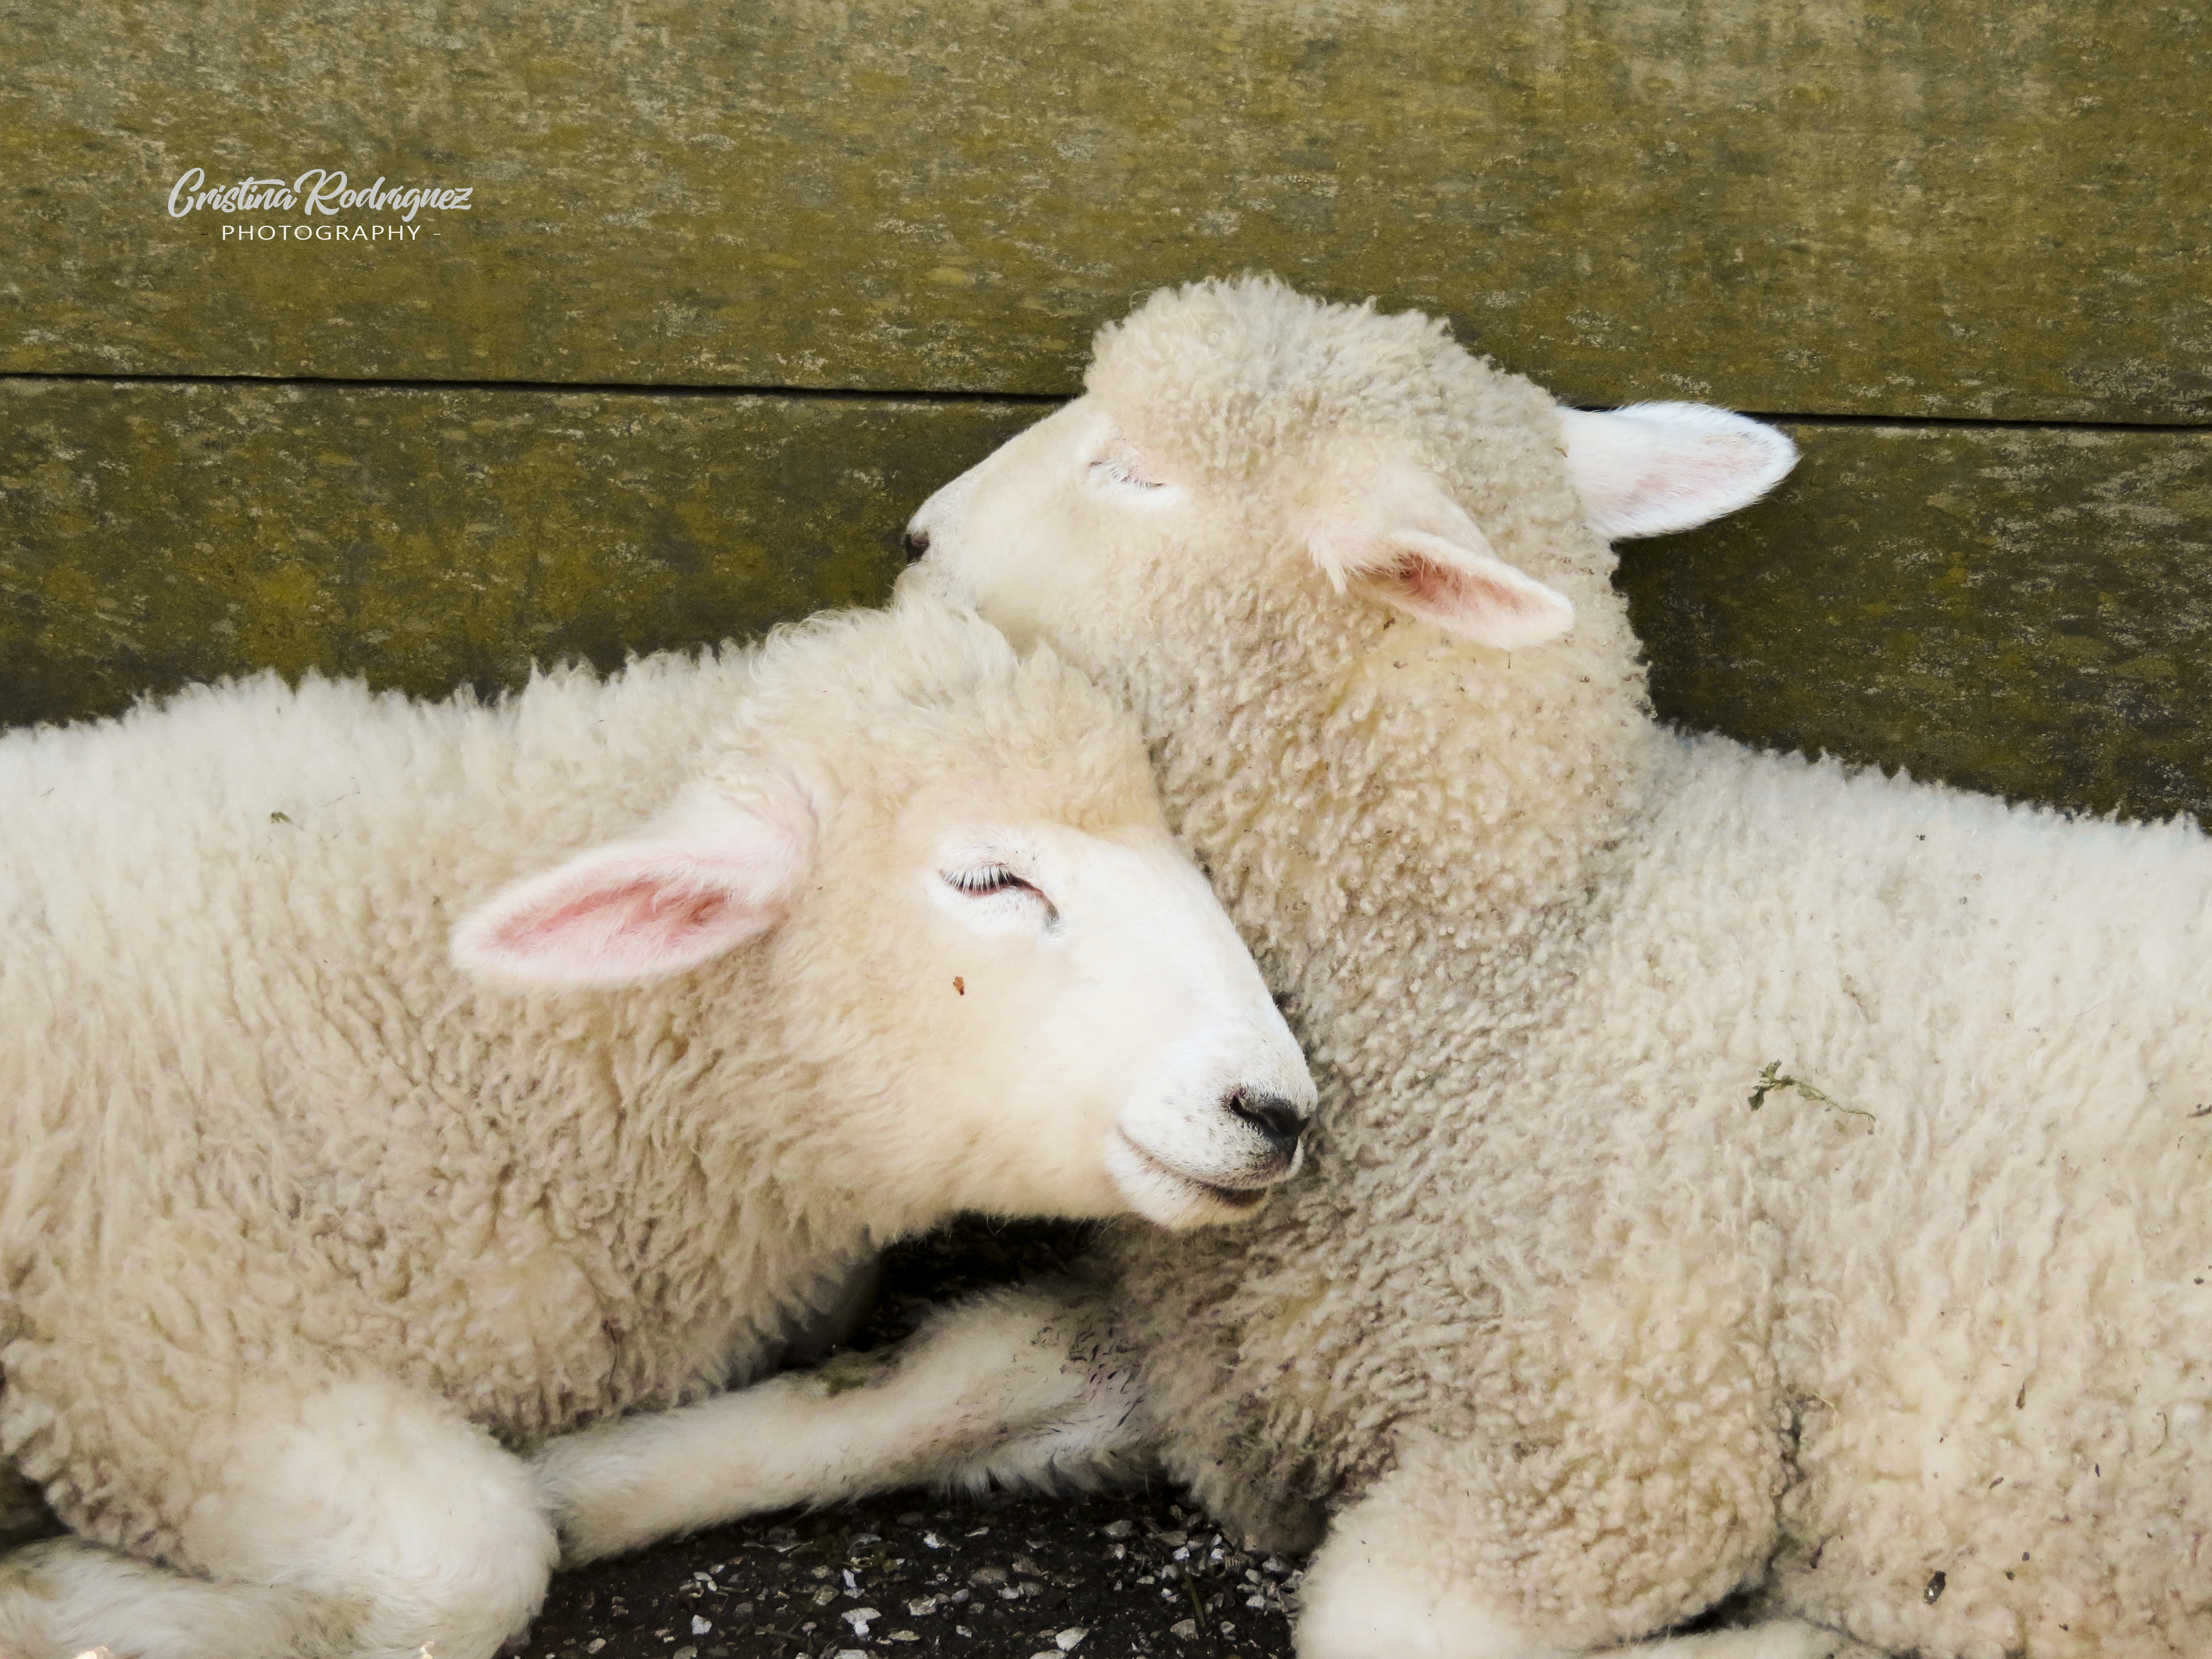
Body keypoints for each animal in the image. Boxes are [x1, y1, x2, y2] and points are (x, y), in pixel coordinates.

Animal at [539, 279, 2212, 1654]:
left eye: (1139, 471)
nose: (918, 539)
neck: (1516, 960)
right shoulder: (1231, 1336)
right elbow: (913, 1382)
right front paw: (564, 1483)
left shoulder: (1621, 1452)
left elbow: (1371, 1618)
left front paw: (1807, 1637)